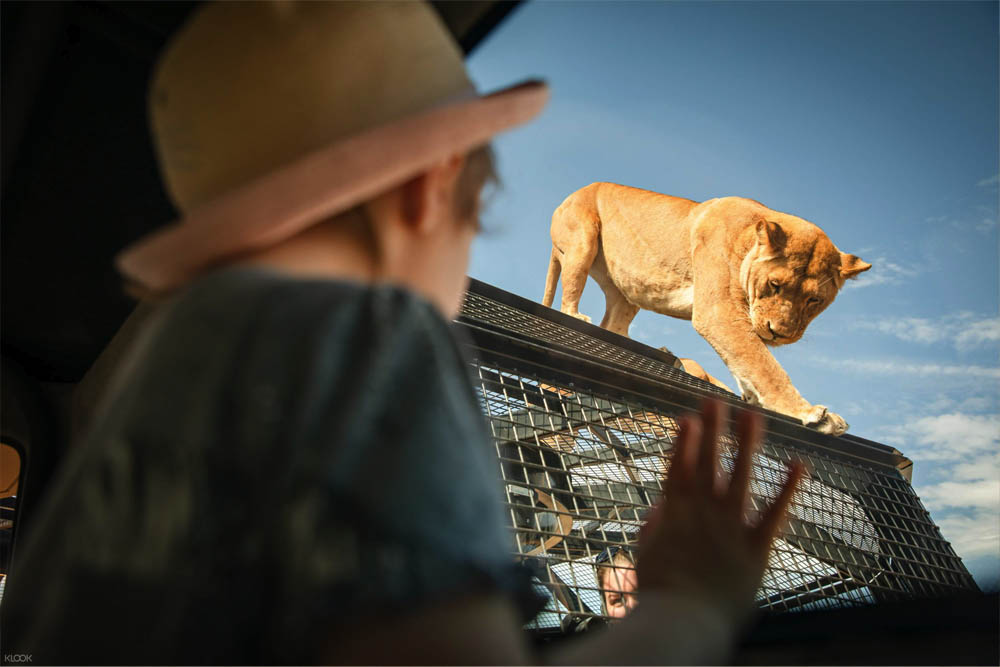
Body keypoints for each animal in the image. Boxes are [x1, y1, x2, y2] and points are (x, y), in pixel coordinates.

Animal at [542, 182, 871, 436]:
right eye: (775, 284)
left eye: (815, 300)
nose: (779, 333)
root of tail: (566, 199)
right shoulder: (717, 312)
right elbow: (763, 364)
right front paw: (812, 414)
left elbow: (745, 360)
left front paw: (752, 397)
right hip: (582, 240)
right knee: (570, 295)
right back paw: (578, 316)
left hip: (626, 293)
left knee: (613, 324)